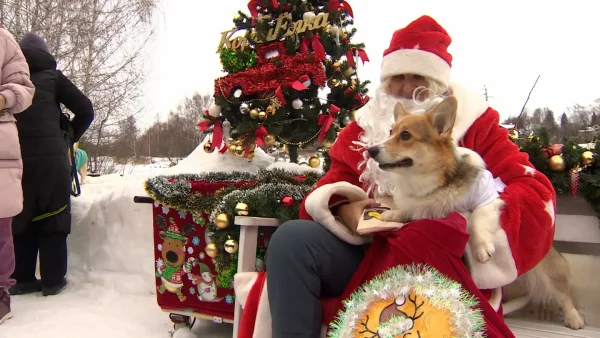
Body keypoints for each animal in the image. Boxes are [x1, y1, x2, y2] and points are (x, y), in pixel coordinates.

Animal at [368, 96, 584, 328]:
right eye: (390, 131)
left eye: (406, 135)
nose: (370, 150)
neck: (431, 183)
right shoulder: (421, 205)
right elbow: (410, 209)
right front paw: (394, 214)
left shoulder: (489, 198)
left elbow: (476, 220)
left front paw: (481, 249)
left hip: (549, 275)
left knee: (563, 295)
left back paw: (573, 317)